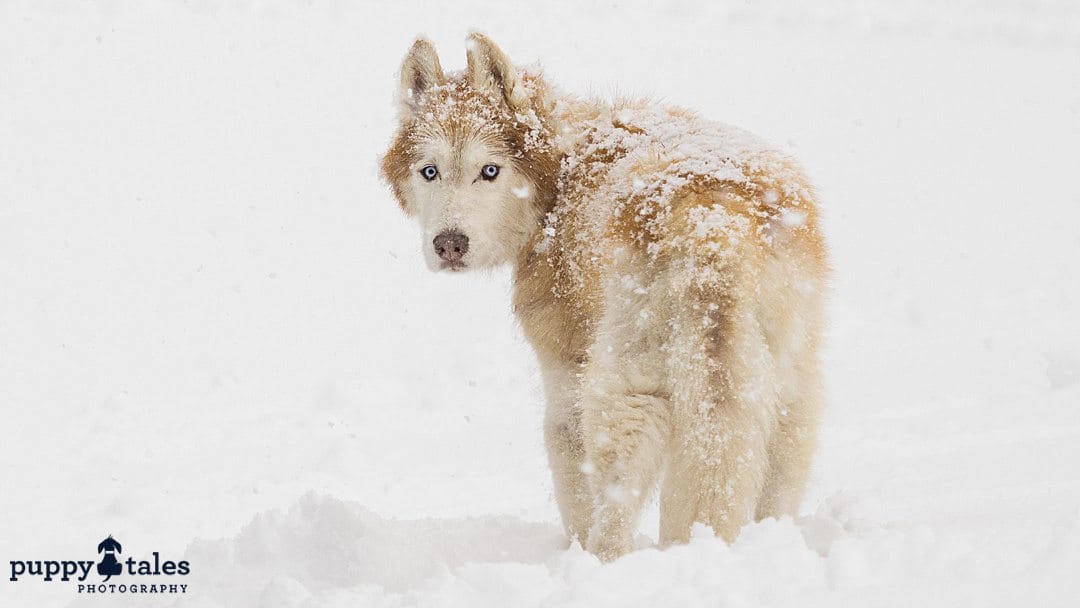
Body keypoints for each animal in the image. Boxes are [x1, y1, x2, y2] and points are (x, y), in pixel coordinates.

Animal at [384, 33, 829, 561]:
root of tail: (711, 214)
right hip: (785, 396)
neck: (563, 172)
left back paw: (605, 561)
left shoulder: (566, 383)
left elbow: (573, 492)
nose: (449, 244)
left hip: (627, 395)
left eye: (489, 171)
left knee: (616, 509)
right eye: (429, 172)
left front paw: (574, 554)